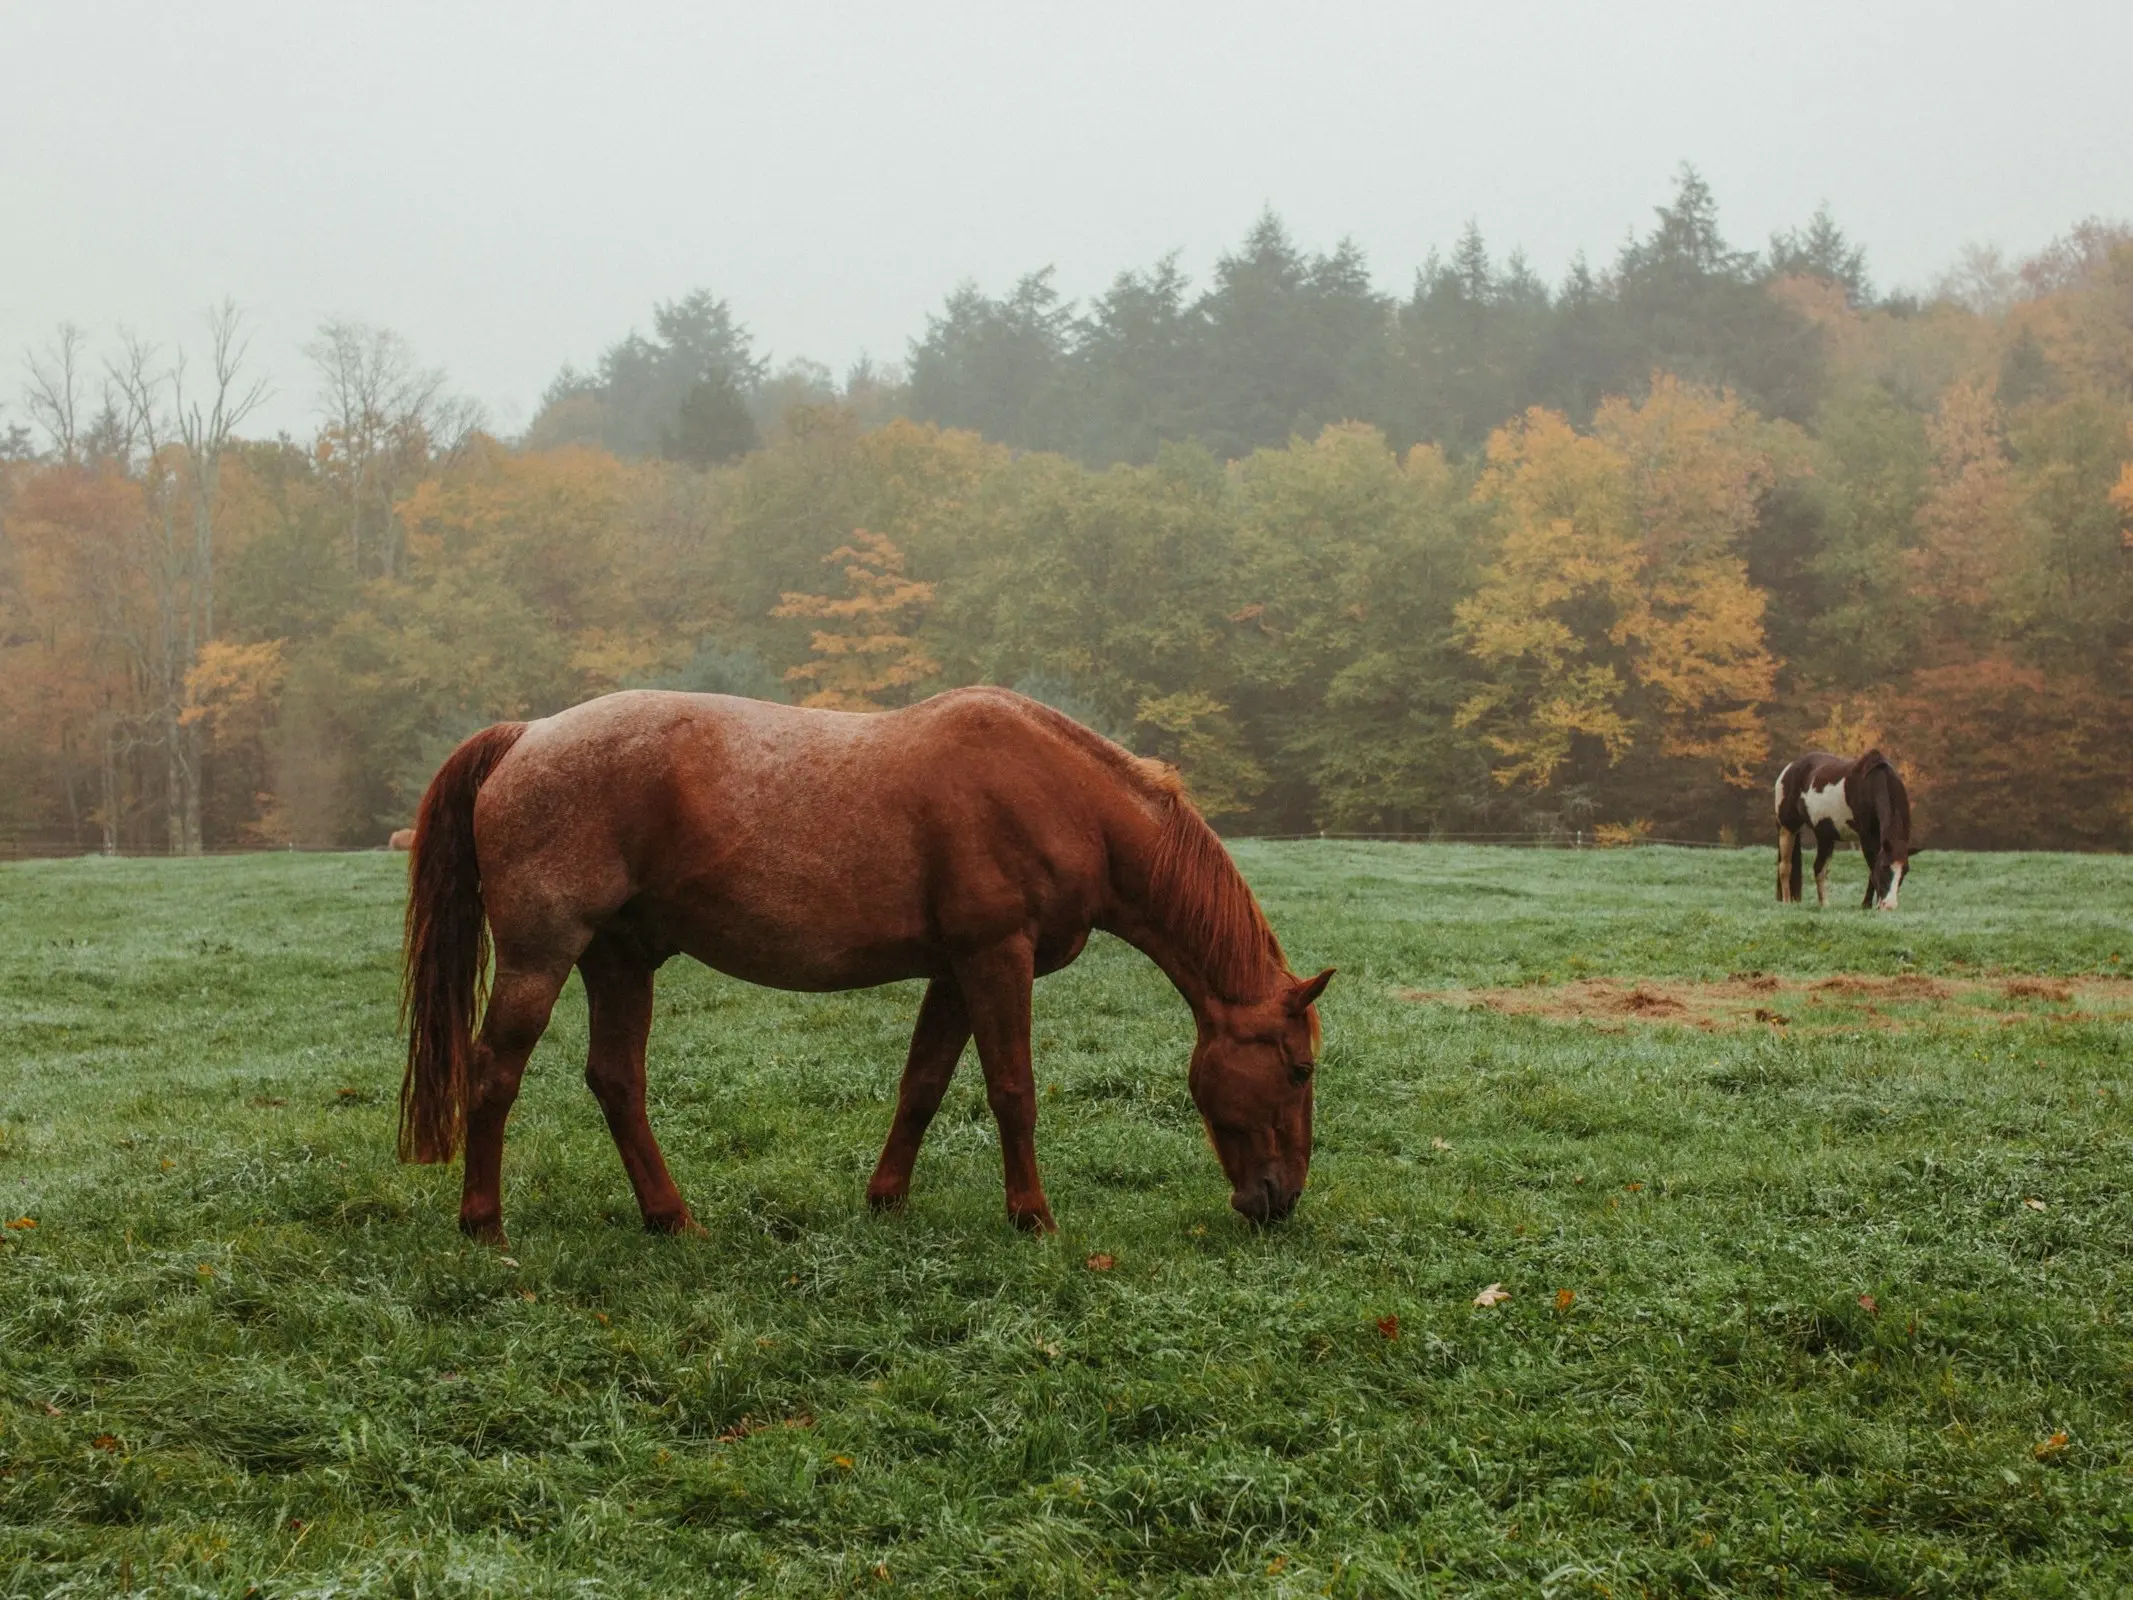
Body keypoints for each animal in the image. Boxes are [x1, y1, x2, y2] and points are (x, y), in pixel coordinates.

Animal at [401, 682, 1330, 1245]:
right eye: (1298, 1067)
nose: (1278, 1199)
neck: (1064, 797)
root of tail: (525, 735)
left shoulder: (956, 971)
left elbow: (923, 1086)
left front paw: (886, 1200)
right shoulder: (996, 959)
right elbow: (1013, 1091)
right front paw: (1032, 1217)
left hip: (619, 958)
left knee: (616, 1080)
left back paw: (671, 1219)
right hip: (543, 955)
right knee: (493, 1074)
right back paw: (485, 1225)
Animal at [1766, 750, 1919, 908]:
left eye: (1905, 871)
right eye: (1884, 867)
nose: (1889, 906)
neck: (1872, 783)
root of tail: (1789, 768)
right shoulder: (1866, 838)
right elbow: (1873, 869)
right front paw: (1868, 904)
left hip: (1824, 836)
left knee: (1819, 869)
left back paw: (1824, 904)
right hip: (1787, 828)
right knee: (1785, 867)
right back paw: (1786, 902)